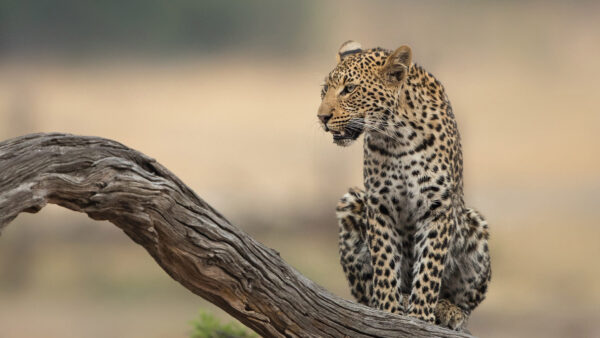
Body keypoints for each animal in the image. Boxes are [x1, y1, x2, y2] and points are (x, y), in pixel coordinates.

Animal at [316, 41, 490, 330]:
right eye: (324, 90)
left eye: (349, 89)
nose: (321, 117)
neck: (396, 136)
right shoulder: (379, 205)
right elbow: (385, 262)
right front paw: (390, 310)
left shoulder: (437, 207)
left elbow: (429, 267)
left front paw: (420, 315)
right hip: (351, 204)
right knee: (366, 290)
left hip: (476, 226)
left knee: (463, 303)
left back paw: (448, 310)